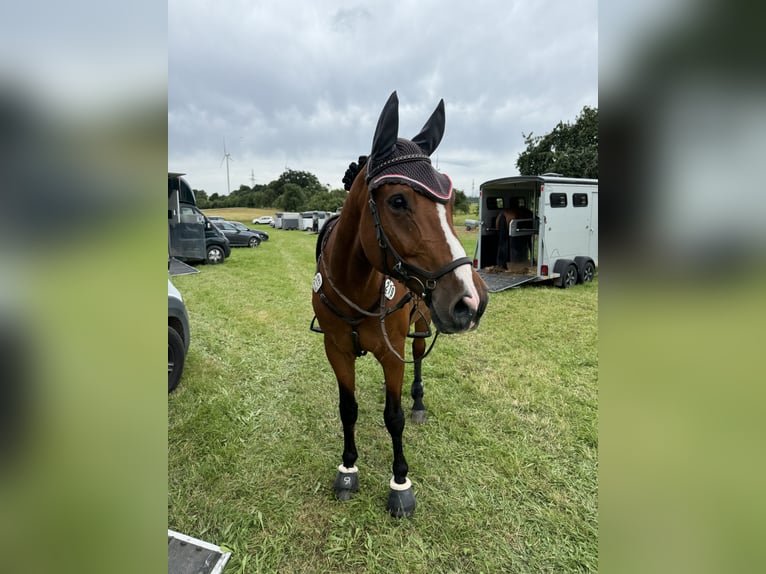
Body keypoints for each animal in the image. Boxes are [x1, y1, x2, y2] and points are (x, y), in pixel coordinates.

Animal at [314, 93, 488, 516]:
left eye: (451, 203)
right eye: (397, 200)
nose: (472, 300)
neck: (356, 289)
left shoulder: (393, 354)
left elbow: (393, 418)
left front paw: (400, 483)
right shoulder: (336, 350)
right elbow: (348, 409)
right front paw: (348, 468)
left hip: (422, 327)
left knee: (419, 359)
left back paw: (419, 401)